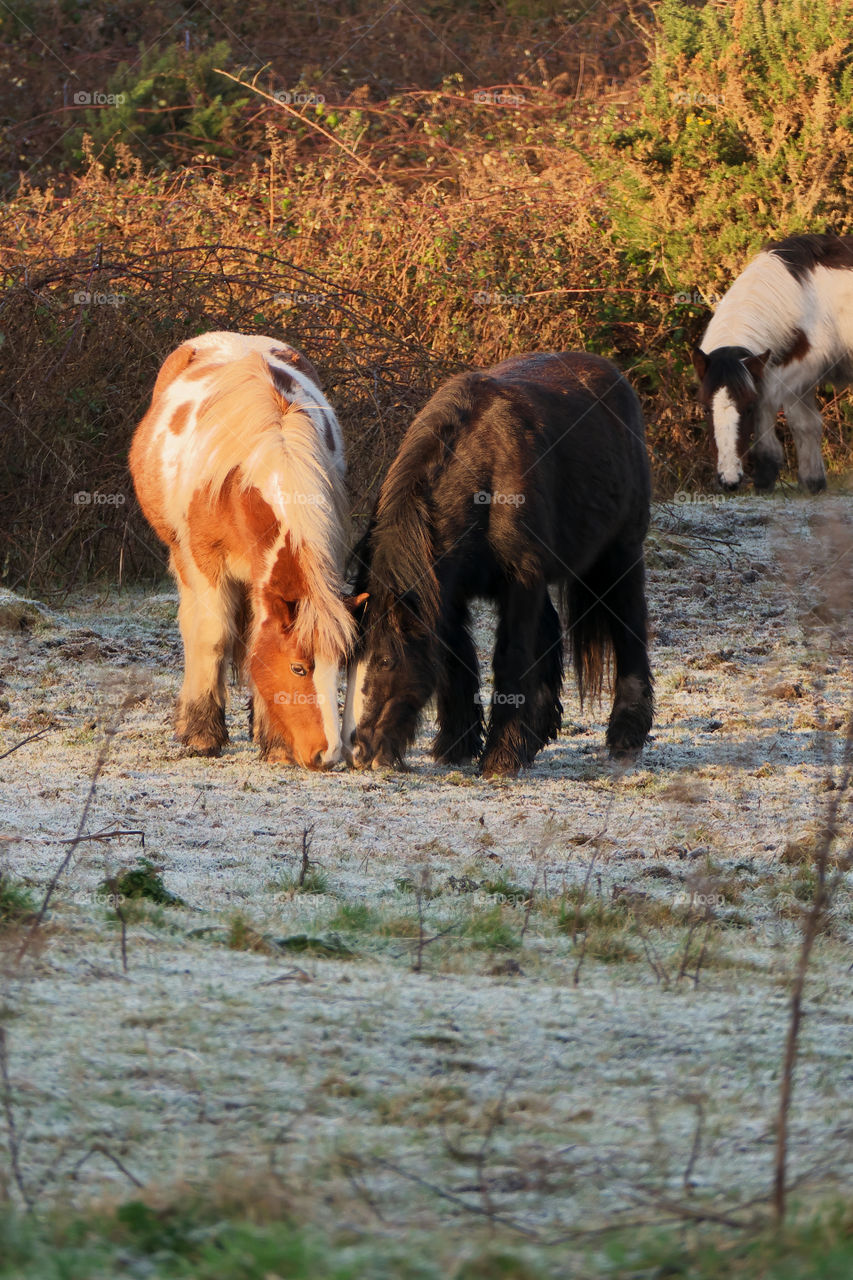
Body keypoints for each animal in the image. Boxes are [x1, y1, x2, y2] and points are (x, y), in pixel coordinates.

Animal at [129, 332, 356, 768]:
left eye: (340, 667)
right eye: (299, 668)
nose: (329, 755)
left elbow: (256, 643)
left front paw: (276, 743)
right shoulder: (206, 566)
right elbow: (212, 638)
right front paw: (202, 736)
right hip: (183, 560)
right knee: (195, 628)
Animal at [338, 350, 650, 773]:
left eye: (386, 660)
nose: (356, 752)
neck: (484, 475)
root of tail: (611, 373)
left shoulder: (520, 582)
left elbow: (511, 658)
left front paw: (500, 757)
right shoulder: (448, 591)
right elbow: (457, 660)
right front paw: (457, 746)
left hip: (621, 555)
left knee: (629, 629)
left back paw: (626, 735)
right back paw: (535, 736)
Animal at [691, 232, 850, 491]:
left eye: (748, 408)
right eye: (706, 408)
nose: (728, 480)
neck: (802, 297)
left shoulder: (803, 367)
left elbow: (769, 400)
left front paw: (767, 468)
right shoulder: (798, 378)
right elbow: (805, 424)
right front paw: (812, 481)